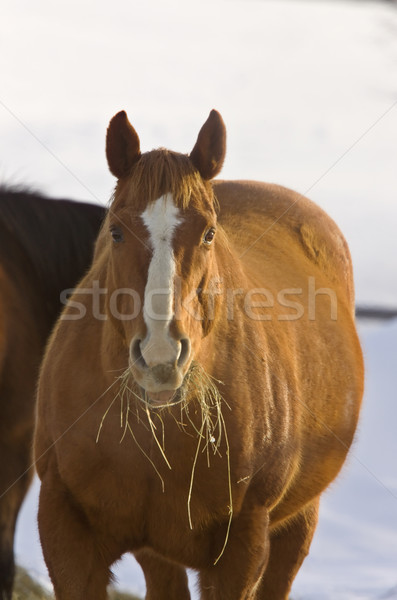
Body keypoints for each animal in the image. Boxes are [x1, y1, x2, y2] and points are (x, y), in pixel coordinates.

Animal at [34, 110, 362, 596]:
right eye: (115, 231)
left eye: (208, 233)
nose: (160, 357)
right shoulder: (65, 528)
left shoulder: (241, 546)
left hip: (298, 521)